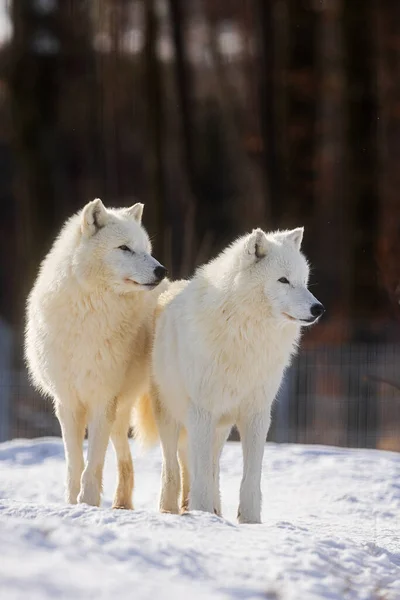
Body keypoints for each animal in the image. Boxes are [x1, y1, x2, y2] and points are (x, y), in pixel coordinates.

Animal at [25, 199, 167, 508]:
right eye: (125, 248)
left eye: (146, 249)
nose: (160, 270)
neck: (90, 314)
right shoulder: (67, 403)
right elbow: (74, 463)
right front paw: (72, 504)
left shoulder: (103, 399)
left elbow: (94, 464)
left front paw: (88, 503)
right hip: (119, 412)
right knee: (125, 459)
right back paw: (121, 504)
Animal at [138, 225, 324, 520]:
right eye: (283, 280)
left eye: (304, 281)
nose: (318, 309)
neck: (246, 334)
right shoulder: (201, 411)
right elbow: (200, 473)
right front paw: (201, 513)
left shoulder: (257, 414)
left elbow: (250, 475)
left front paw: (249, 520)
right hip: (171, 417)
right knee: (173, 467)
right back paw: (170, 510)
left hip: (220, 428)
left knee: (211, 467)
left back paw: (215, 510)